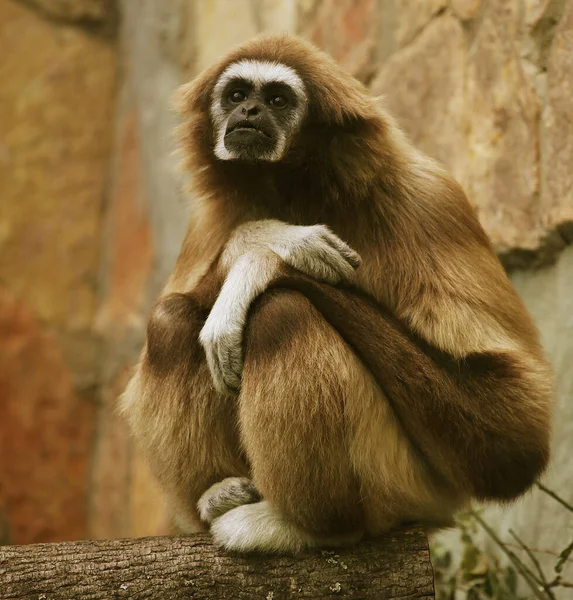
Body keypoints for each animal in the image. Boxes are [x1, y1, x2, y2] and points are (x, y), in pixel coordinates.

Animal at [119, 34, 548, 552]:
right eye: (237, 94)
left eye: (278, 100)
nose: (250, 111)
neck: (300, 189)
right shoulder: (209, 218)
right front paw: (268, 237)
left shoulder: (430, 200)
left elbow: (510, 438)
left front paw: (265, 255)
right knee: (172, 319)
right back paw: (221, 492)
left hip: (398, 483)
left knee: (282, 312)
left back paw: (307, 527)